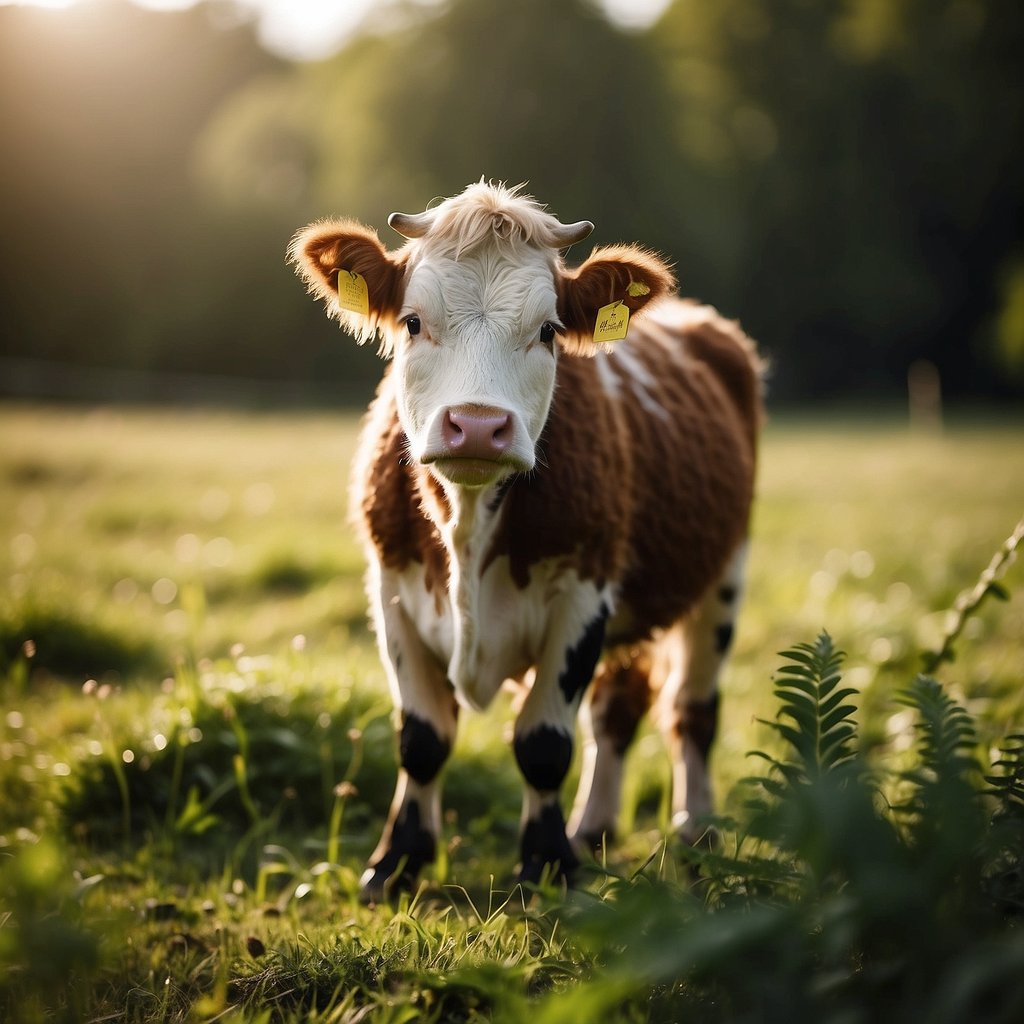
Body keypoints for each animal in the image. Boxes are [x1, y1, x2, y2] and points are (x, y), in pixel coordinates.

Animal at [289, 181, 762, 899]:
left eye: (547, 331)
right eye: (413, 323)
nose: (478, 426)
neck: (469, 523)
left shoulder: (584, 597)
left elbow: (543, 744)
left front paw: (545, 866)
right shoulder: (392, 594)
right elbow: (421, 741)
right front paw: (396, 863)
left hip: (724, 577)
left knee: (692, 711)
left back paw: (697, 833)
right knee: (618, 711)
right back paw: (594, 829)